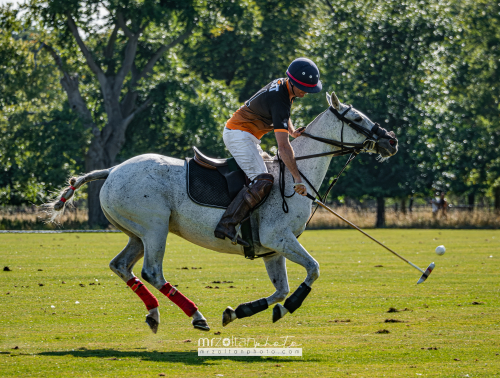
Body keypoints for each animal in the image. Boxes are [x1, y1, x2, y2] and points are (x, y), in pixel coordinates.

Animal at [47, 92, 398, 334]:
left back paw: (154, 313)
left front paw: (240, 311)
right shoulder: (278, 238)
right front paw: (289, 308)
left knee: (121, 265)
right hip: (154, 228)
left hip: (136, 233)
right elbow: (312, 270)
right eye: (358, 119)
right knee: (152, 271)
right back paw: (195, 315)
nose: (391, 141)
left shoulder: (272, 249)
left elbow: (280, 288)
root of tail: (112, 170)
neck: (296, 171)